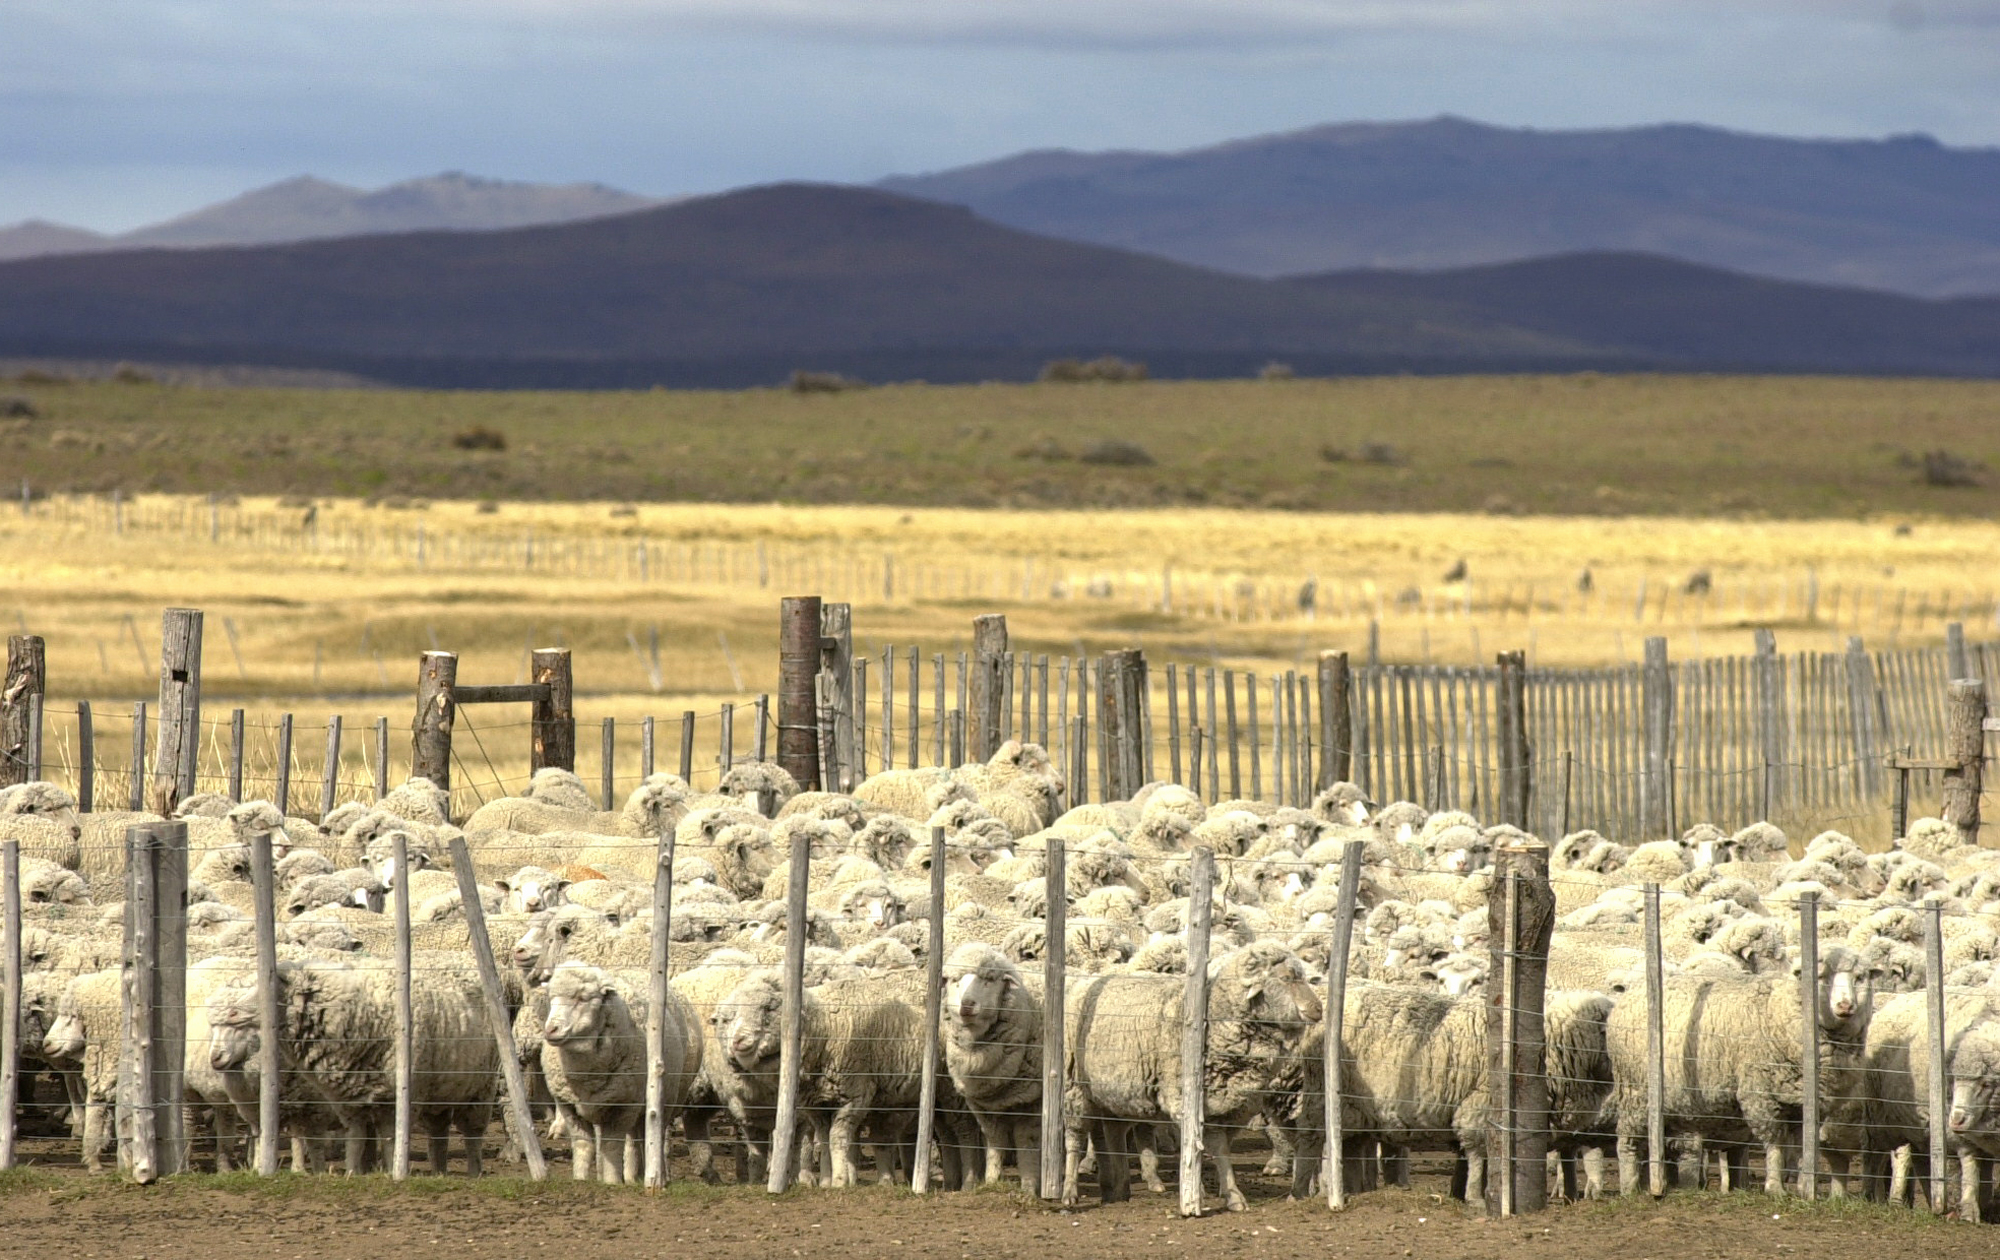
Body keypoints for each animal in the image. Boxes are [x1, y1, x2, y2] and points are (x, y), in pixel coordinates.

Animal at [540, 961, 701, 1183]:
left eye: (582, 998)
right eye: (551, 999)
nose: (551, 1030)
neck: (586, 1074)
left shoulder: (622, 1106)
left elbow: (611, 1146)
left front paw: (612, 1181)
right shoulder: (569, 1105)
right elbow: (583, 1146)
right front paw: (580, 1179)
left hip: (664, 1098)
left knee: (653, 1138)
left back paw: (653, 1176)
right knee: (636, 1138)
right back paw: (634, 1175)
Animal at [941, 943, 1044, 1191]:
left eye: (989, 980)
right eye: (955, 981)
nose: (967, 1005)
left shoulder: (1030, 1100)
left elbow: (1026, 1142)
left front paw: (1029, 1186)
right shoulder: (981, 1104)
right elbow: (995, 1140)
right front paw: (991, 1180)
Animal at [1062, 939, 1323, 1210]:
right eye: (1286, 978)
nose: (1318, 1009)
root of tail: (1087, 981)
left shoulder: (1226, 1105)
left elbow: (1221, 1149)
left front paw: (1229, 1193)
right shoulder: (1185, 1100)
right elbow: (1199, 1147)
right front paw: (1202, 1192)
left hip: (1113, 1092)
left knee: (1111, 1133)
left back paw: (1118, 1189)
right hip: (1075, 1086)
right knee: (1075, 1138)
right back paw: (1070, 1191)